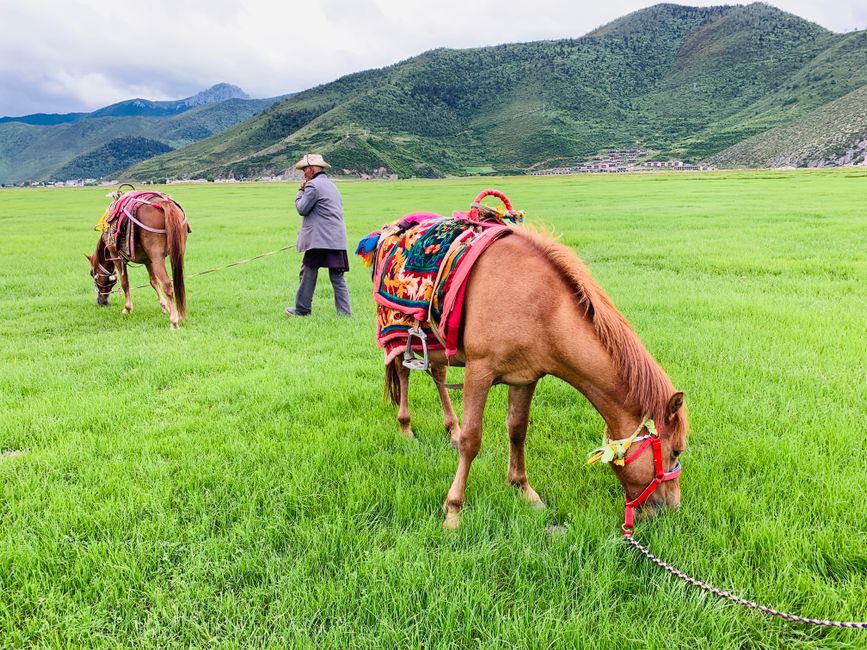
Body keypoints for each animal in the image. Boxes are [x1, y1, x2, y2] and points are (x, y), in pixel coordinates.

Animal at [86, 193, 188, 329]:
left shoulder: (116, 255)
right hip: (178, 253)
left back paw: (174, 321)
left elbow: (125, 282)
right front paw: (164, 306)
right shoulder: (147, 260)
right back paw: (180, 315)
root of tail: (164, 203)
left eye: (93, 274)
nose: (102, 302)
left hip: (157, 258)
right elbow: (153, 281)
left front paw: (127, 308)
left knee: (167, 284)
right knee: (178, 283)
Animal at [381, 227, 688, 529]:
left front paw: (524, 491)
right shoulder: (479, 371)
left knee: (438, 373)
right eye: (676, 451)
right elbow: (471, 440)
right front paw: (453, 512)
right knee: (404, 372)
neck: (541, 306)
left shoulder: (525, 378)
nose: (672, 508)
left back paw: (450, 429)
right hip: (402, 337)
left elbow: (517, 431)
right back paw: (406, 428)